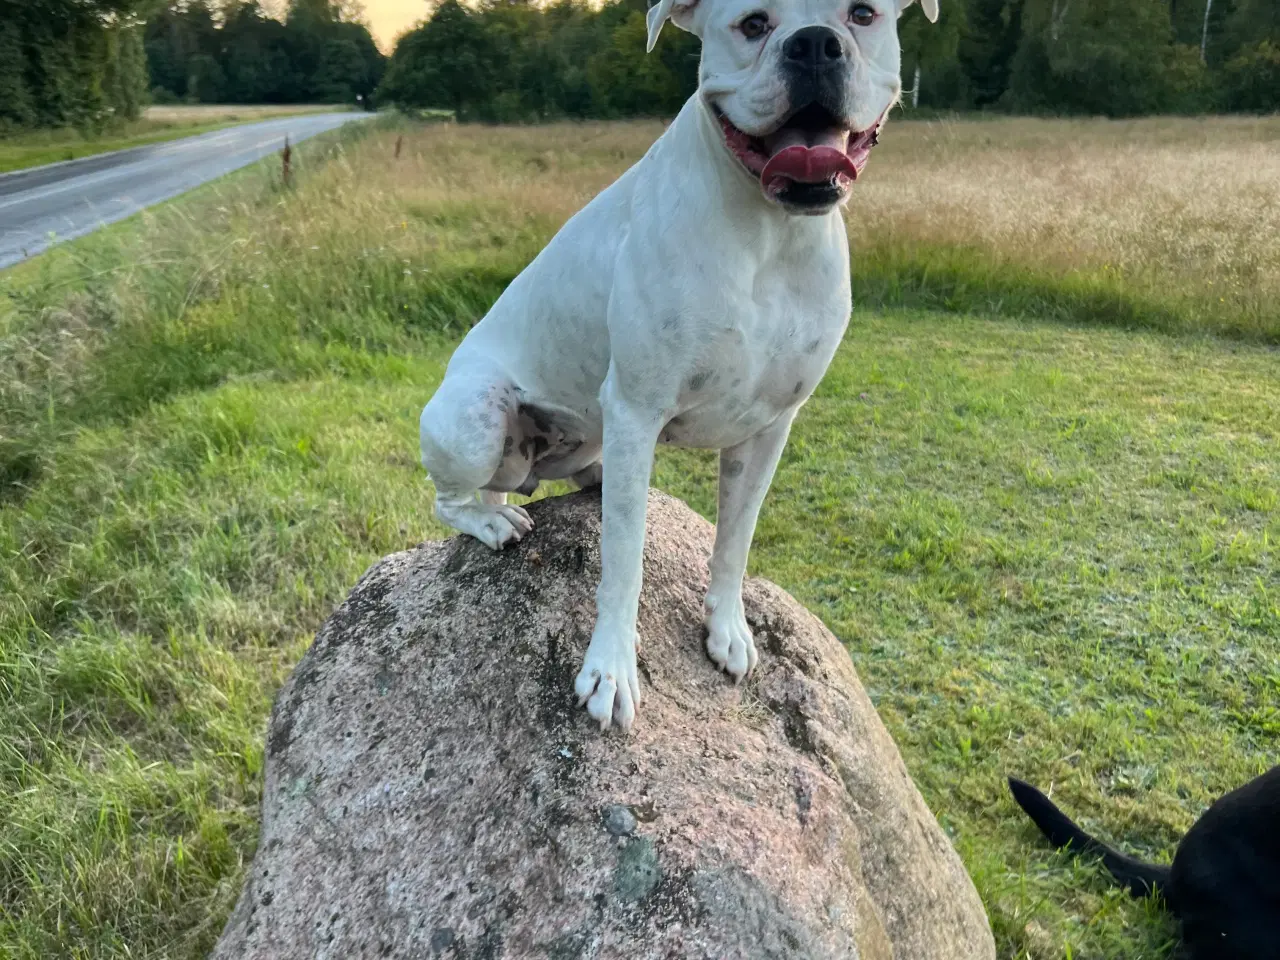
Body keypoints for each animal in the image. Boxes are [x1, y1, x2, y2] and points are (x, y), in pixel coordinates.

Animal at [424, 0, 936, 727]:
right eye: (752, 24)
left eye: (863, 14)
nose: (815, 46)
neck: (772, 233)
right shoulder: (638, 409)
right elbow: (624, 561)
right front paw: (610, 670)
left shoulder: (769, 428)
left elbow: (735, 540)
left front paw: (727, 629)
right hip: (476, 415)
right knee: (452, 501)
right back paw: (492, 521)